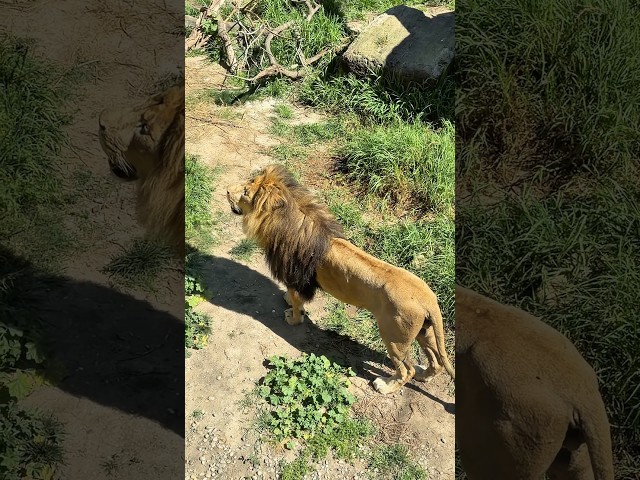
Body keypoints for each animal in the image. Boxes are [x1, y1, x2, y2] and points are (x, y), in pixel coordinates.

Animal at [226, 164, 455, 394]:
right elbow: (293, 297)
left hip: (393, 336)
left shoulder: (295, 279)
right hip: (424, 331)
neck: (286, 221)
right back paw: (424, 374)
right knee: (436, 361)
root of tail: (429, 299)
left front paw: (293, 317)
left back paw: (385, 385)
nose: (227, 191)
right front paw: (288, 300)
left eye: (245, 192)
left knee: (406, 369)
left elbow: (298, 304)